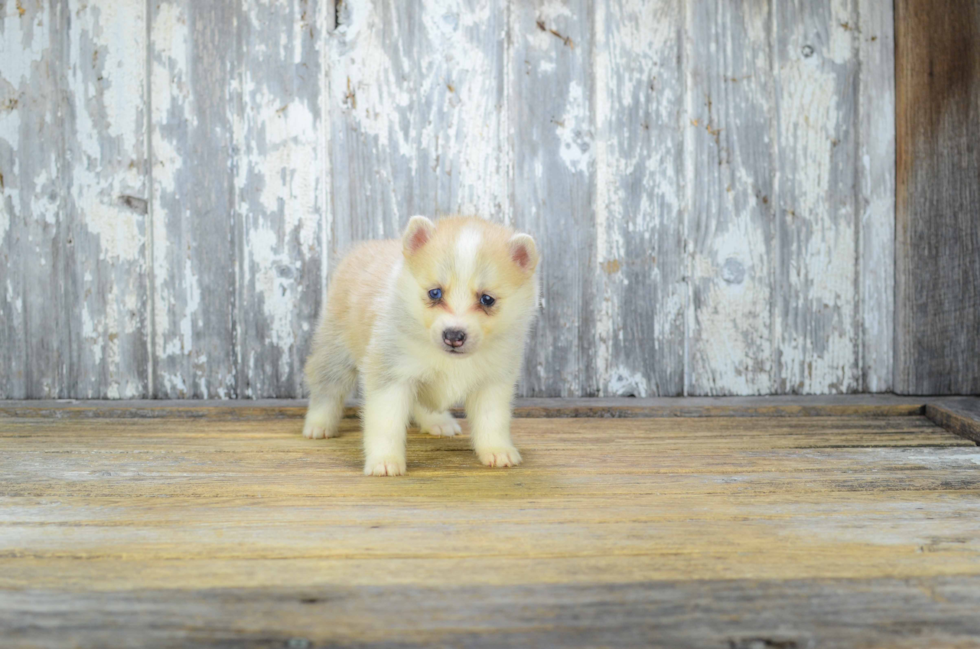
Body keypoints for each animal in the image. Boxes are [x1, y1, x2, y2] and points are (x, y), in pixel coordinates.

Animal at [302, 215, 540, 474]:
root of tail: (363, 248)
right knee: (326, 389)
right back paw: (318, 425)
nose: (453, 335)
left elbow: (492, 420)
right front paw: (385, 461)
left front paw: (498, 450)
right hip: (335, 353)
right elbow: (386, 424)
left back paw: (438, 422)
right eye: (435, 293)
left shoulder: (493, 382)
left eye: (487, 299)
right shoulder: (391, 376)